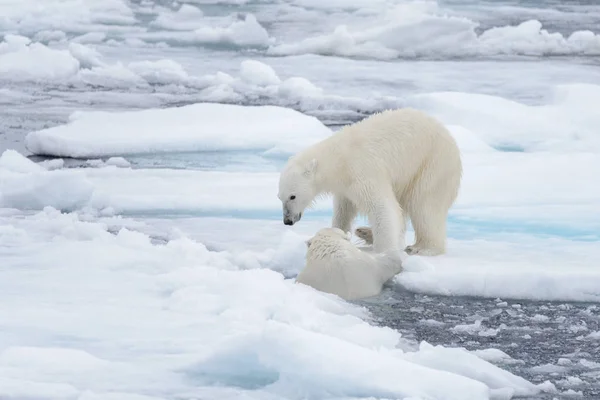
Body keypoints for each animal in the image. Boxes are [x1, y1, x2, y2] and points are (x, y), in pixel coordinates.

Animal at [278, 108, 462, 255]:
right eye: (280, 197)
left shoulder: (363, 171)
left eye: (292, 196)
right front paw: (331, 235)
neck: (340, 159)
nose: (288, 221)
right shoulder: (345, 185)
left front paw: (384, 251)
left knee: (424, 206)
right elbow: (344, 209)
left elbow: (382, 206)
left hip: (431, 165)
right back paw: (365, 232)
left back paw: (422, 248)